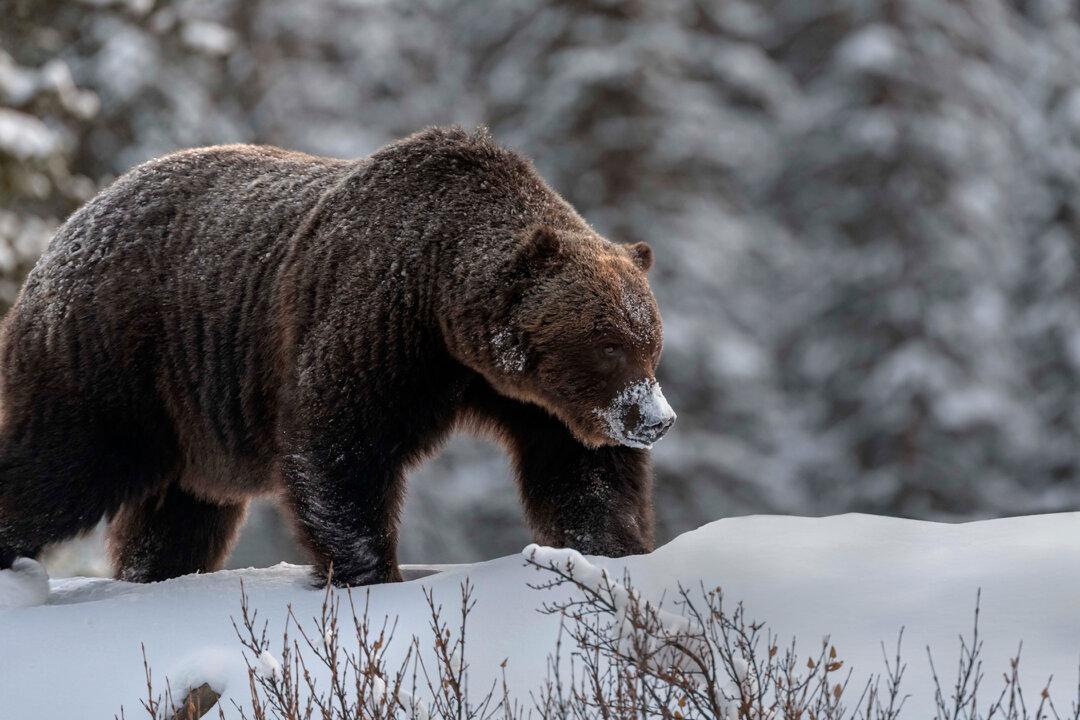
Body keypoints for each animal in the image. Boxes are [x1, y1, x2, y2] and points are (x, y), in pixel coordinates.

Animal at [0, 126, 675, 587]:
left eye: (650, 344)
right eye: (608, 345)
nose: (656, 419)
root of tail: (68, 227)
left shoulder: (528, 400)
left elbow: (583, 473)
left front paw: (611, 552)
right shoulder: (375, 325)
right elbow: (341, 447)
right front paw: (370, 570)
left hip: (190, 420)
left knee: (179, 517)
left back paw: (156, 573)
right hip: (115, 355)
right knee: (61, 463)